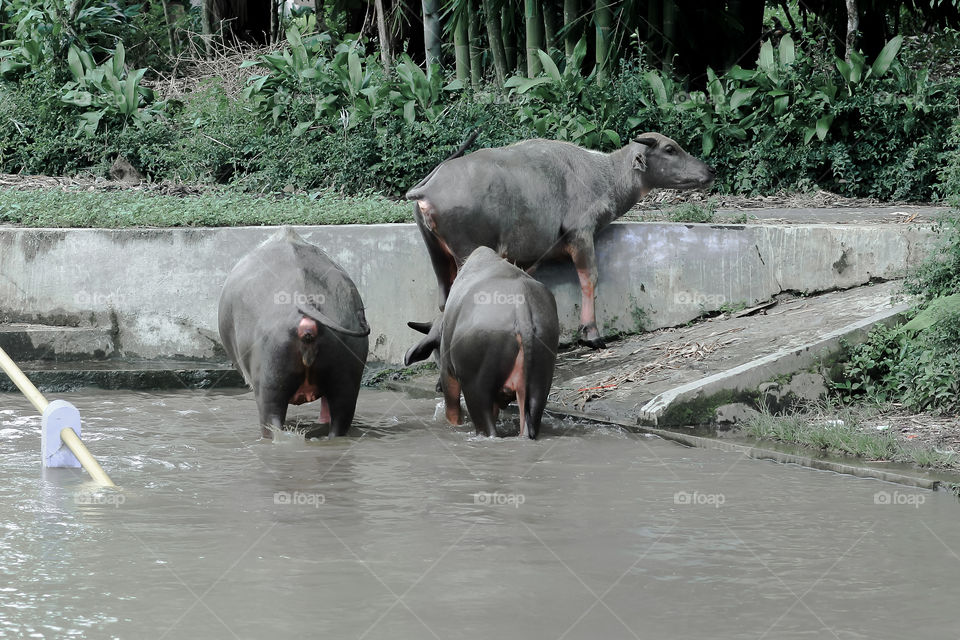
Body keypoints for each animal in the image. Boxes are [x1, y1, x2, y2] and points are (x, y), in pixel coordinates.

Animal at [404, 246, 559, 439]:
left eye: (436, 352)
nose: (437, 387)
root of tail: (521, 308)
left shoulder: (448, 373)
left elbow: (453, 413)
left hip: (476, 389)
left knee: (487, 428)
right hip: (539, 386)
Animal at [406, 132, 715, 348]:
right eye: (670, 149)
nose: (709, 171)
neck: (602, 173)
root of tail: (427, 189)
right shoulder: (581, 234)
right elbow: (589, 278)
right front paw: (591, 334)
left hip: (439, 257)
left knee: (444, 301)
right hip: (467, 252)